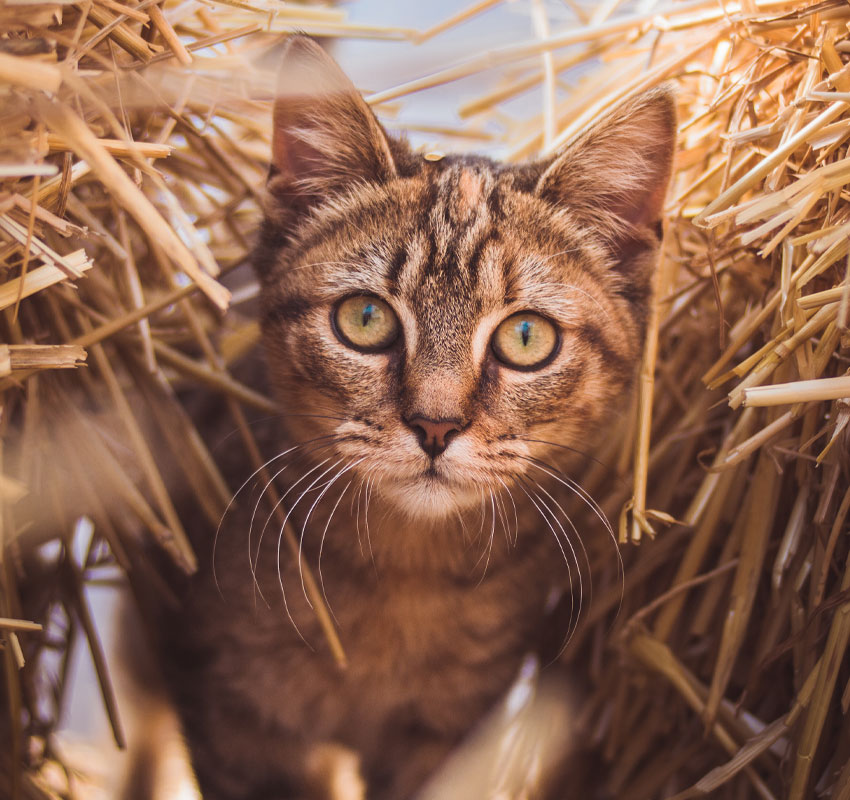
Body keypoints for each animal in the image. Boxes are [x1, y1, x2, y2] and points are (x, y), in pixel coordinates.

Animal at [147, 36, 676, 800]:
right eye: (365, 320)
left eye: (526, 337)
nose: (435, 426)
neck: (403, 577)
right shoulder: (228, 713)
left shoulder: (450, 731)